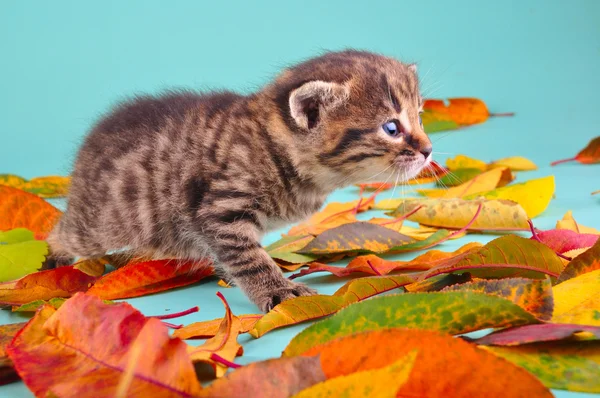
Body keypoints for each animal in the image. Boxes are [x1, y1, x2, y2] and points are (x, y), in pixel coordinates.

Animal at [47, 50, 432, 310]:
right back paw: (53, 261)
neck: (274, 145)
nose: (429, 151)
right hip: (102, 224)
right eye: (392, 128)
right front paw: (279, 290)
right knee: (61, 231)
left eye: (420, 117)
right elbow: (250, 258)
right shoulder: (221, 209)